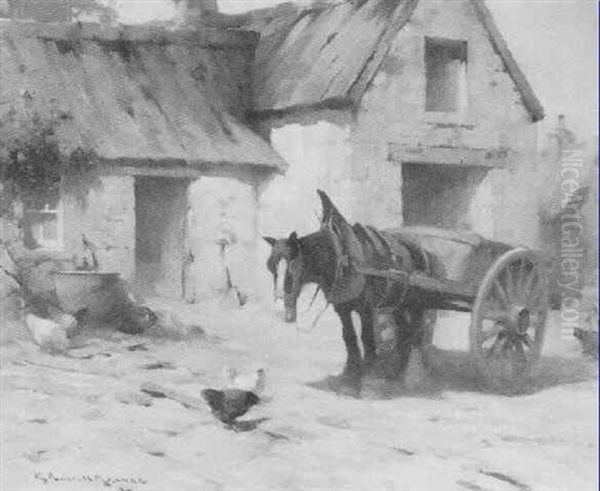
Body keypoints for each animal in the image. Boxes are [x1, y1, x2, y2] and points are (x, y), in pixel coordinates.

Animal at [262, 191, 432, 396]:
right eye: (271, 268)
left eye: (293, 267)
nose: (280, 307)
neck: (342, 257)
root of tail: (415, 248)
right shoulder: (342, 308)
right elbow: (349, 337)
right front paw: (350, 378)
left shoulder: (366, 308)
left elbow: (367, 338)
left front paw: (368, 379)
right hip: (397, 303)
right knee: (404, 331)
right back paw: (396, 376)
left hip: (415, 304)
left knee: (416, 331)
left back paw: (414, 376)